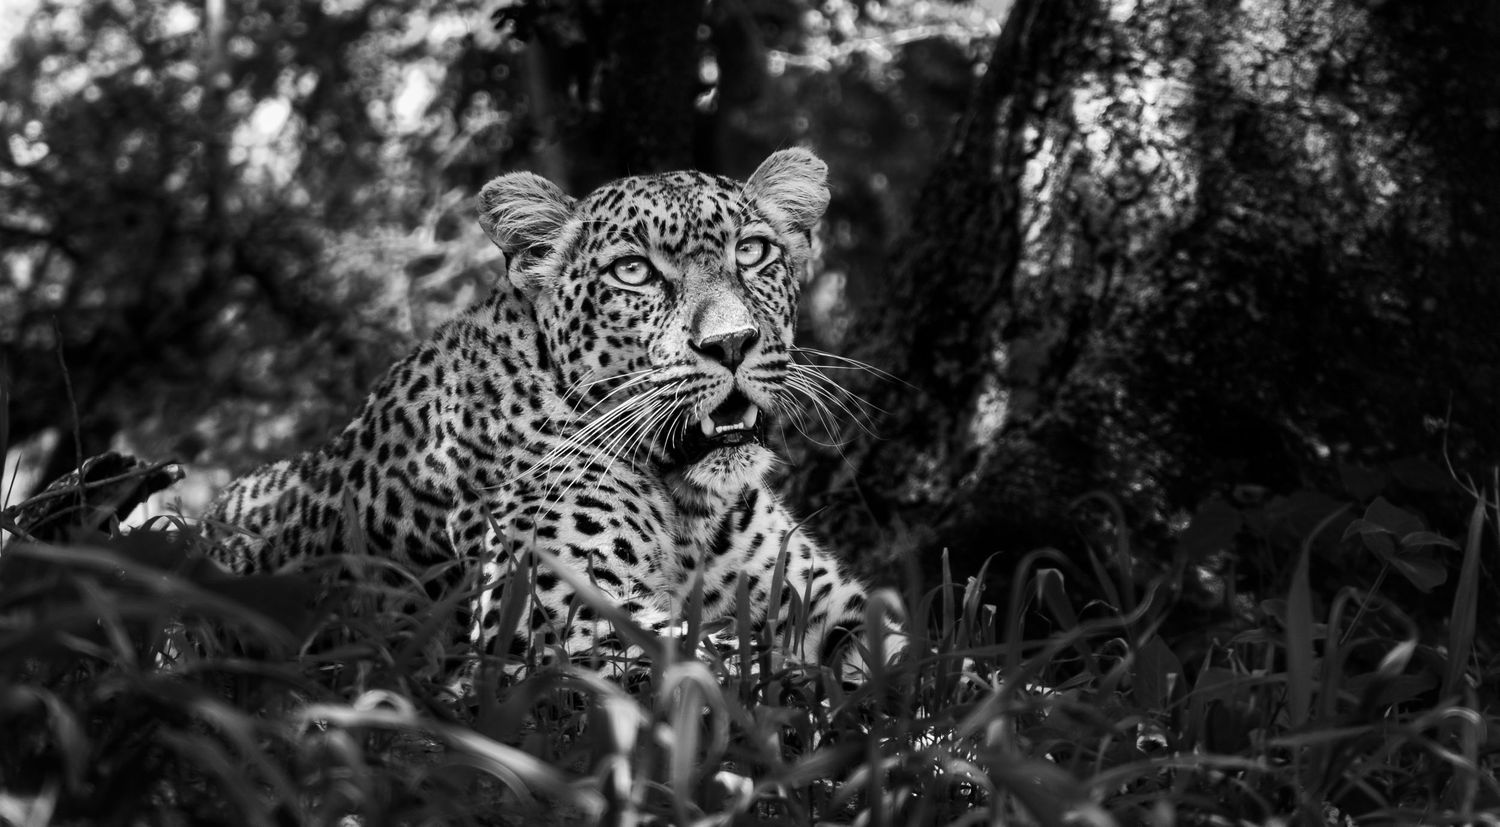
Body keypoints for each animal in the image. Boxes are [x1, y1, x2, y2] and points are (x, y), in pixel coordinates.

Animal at [205, 149, 898, 683]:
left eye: (752, 252)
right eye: (634, 271)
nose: (731, 343)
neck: (690, 509)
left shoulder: (824, 603)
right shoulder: (562, 617)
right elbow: (728, 674)